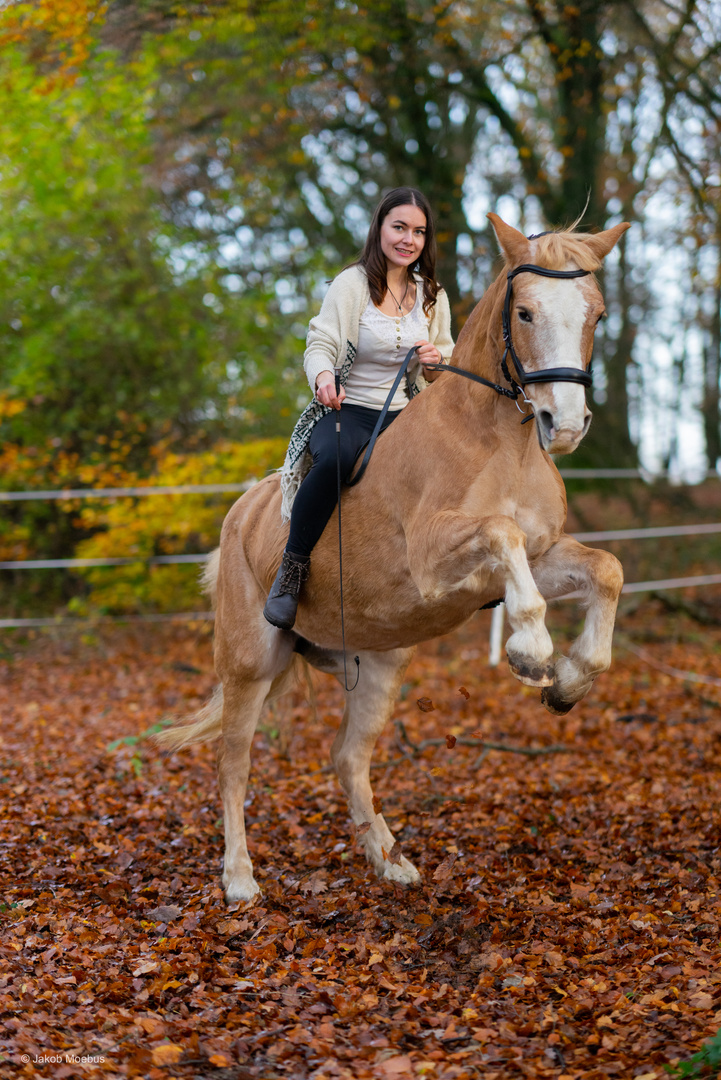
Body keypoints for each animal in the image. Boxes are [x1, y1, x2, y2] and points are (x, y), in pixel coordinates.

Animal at [158, 210, 630, 902]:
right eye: (525, 312)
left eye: (595, 313)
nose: (563, 424)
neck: (498, 440)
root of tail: (240, 514)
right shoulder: (437, 557)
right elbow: (502, 533)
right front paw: (531, 652)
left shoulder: (538, 558)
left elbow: (605, 571)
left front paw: (569, 682)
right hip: (250, 663)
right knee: (234, 761)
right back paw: (241, 879)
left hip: (379, 663)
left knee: (348, 756)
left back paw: (387, 859)